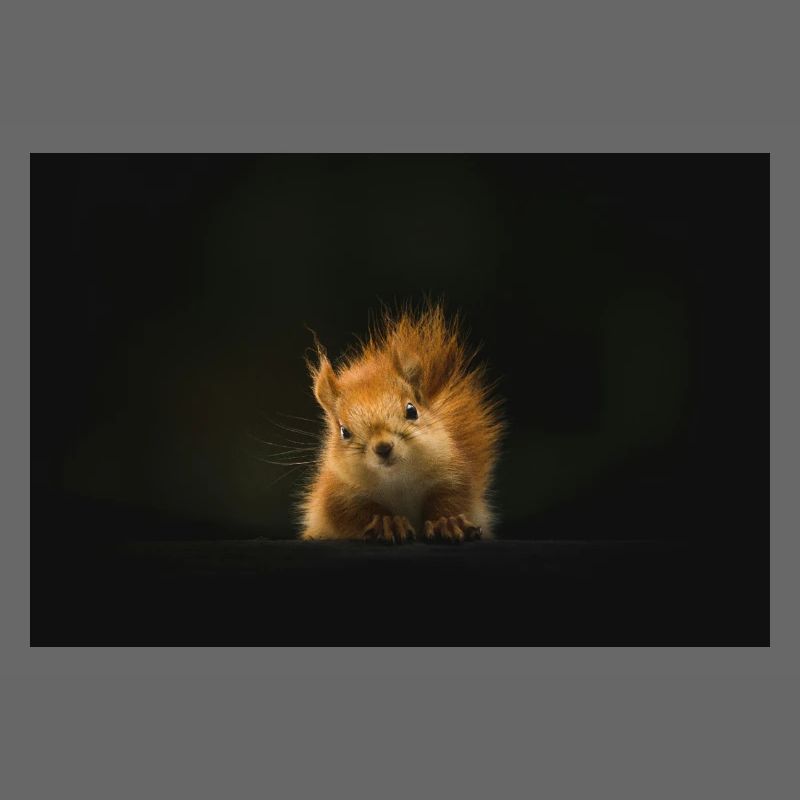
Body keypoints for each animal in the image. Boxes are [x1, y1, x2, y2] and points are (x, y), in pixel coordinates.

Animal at [298, 303, 503, 544]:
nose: (383, 447)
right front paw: (387, 523)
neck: (396, 480)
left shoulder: (453, 474)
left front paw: (447, 522)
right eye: (344, 432)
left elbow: (451, 500)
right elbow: (353, 514)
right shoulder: (338, 494)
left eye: (412, 410)